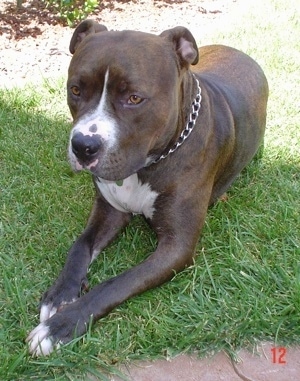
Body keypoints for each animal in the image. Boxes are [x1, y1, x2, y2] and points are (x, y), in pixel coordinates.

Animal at [27, 19, 268, 354]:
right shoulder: (109, 211)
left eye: (134, 98)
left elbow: (117, 283)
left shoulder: (176, 247)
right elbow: (79, 246)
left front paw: (60, 326)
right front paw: (61, 294)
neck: (148, 164)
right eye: (75, 90)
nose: (83, 146)